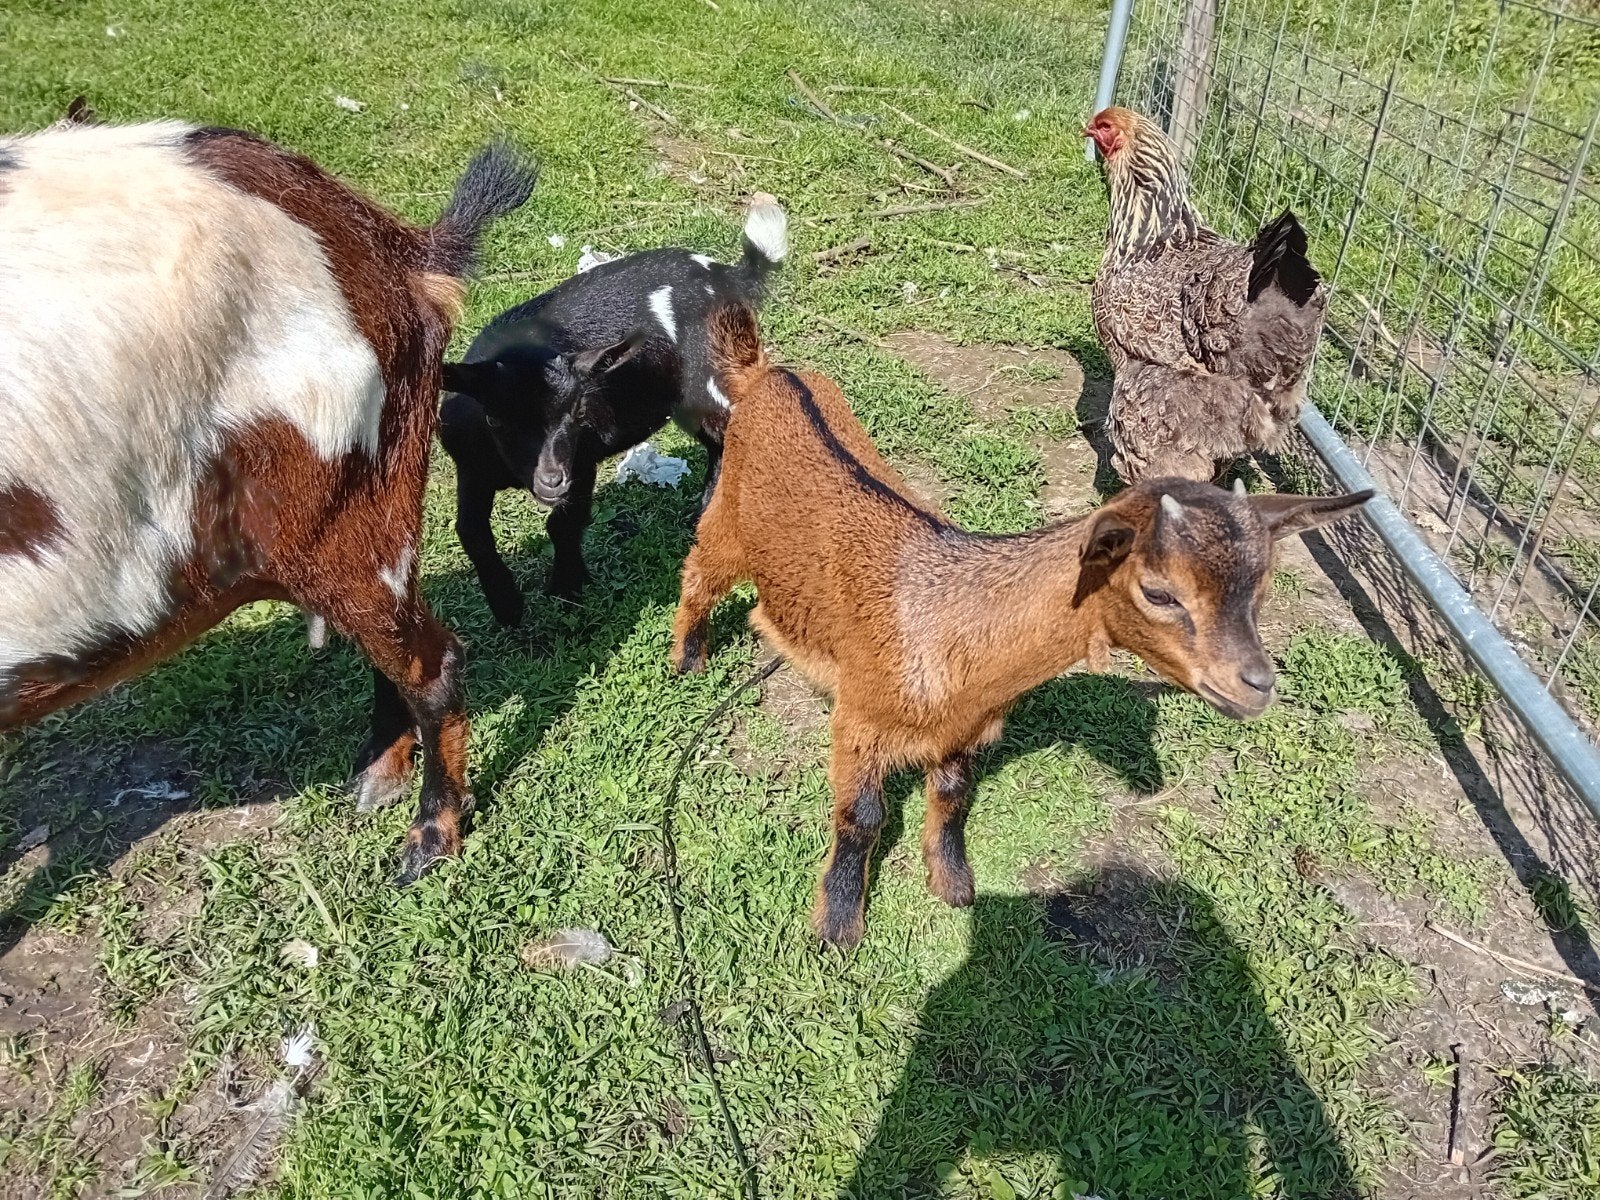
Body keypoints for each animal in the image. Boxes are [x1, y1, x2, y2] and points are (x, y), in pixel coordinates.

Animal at [437, 194, 788, 627]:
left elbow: (562, 523)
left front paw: (567, 589)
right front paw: (507, 607)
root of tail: (728, 276)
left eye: (577, 413)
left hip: (715, 373)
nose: (552, 480)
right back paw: (702, 515)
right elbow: (470, 531)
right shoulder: (472, 467)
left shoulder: (581, 458)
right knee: (717, 441)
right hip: (685, 401)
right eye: (496, 418)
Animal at [671, 305, 1372, 947]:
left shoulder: (965, 728)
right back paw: (688, 661)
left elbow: (953, 793)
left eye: (1262, 590)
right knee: (698, 574)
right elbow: (861, 815)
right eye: (1159, 592)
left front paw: (953, 885)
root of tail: (767, 372)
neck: (952, 631)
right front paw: (838, 926)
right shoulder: (861, 717)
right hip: (729, 522)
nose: (1258, 684)